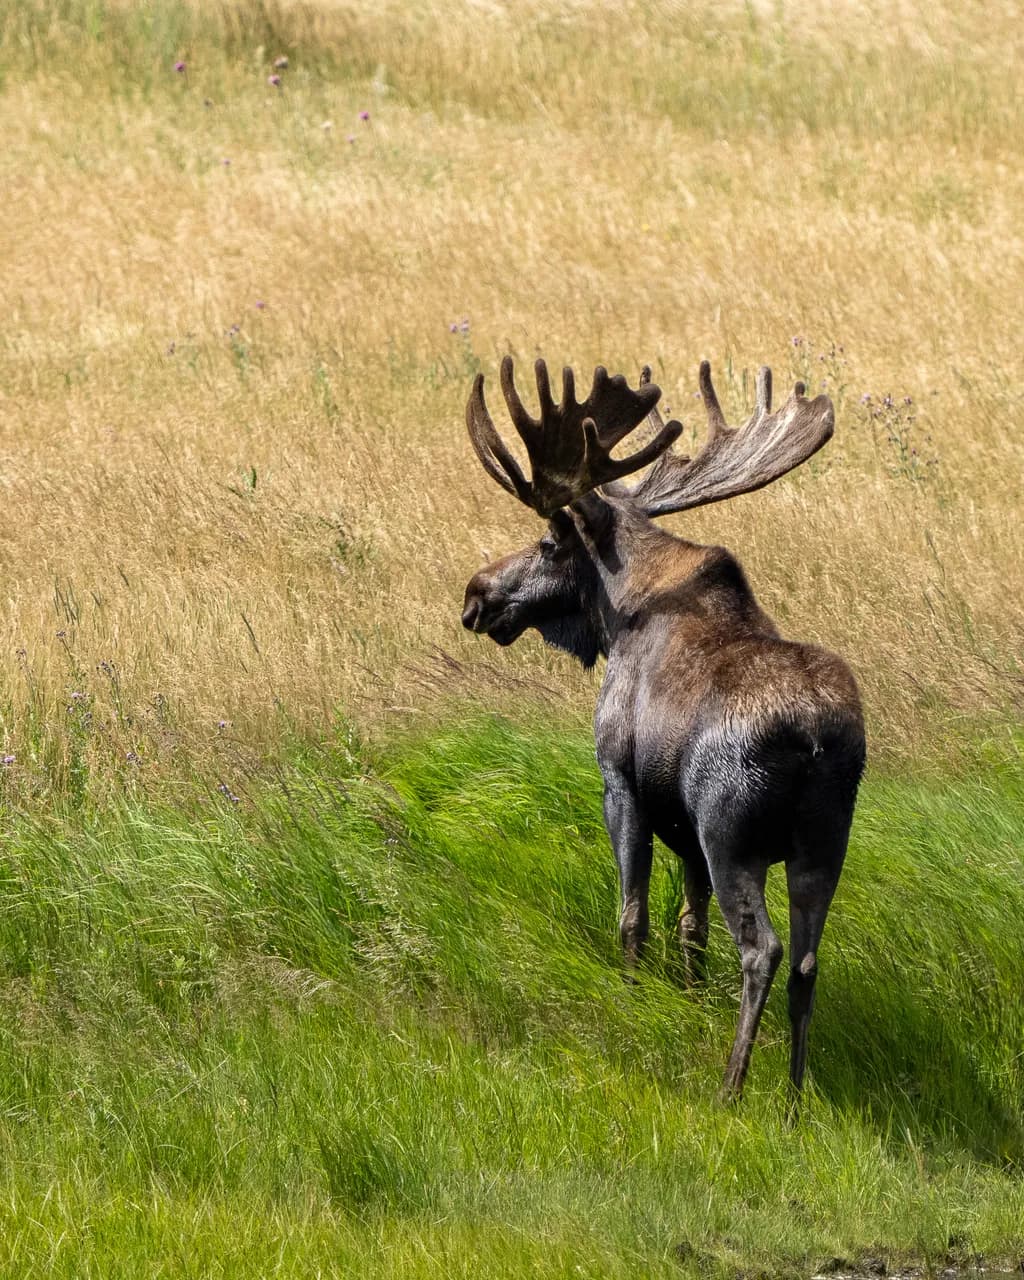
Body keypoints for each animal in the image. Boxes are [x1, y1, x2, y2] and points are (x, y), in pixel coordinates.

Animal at [460, 355, 865, 1101]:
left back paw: (732, 1086)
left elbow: (634, 916)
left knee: (764, 950)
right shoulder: (684, 832)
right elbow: (690, 928)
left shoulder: (623, 783)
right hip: (824, 845)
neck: (617, 616)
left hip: (731, 834)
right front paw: (688, 999)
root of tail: (820, 741)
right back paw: (794, 1099)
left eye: (548, 541)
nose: (476, 593)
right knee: (807, 960)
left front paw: (630, 998)